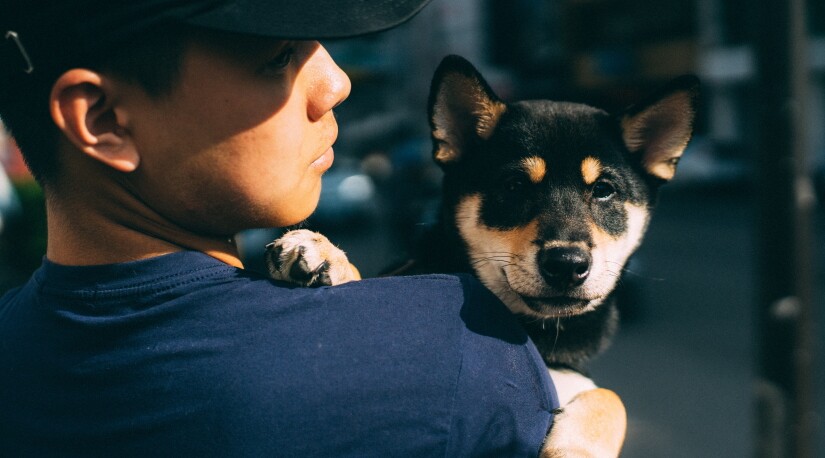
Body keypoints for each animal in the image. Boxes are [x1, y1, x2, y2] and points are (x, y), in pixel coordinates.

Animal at [264, 53, 696, 454]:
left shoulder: (571, 373)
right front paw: (328, 256)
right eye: (514, 186)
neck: (532, 330)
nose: (567, 265)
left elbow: (610, 396)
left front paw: (575, 448)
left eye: (604, 190)